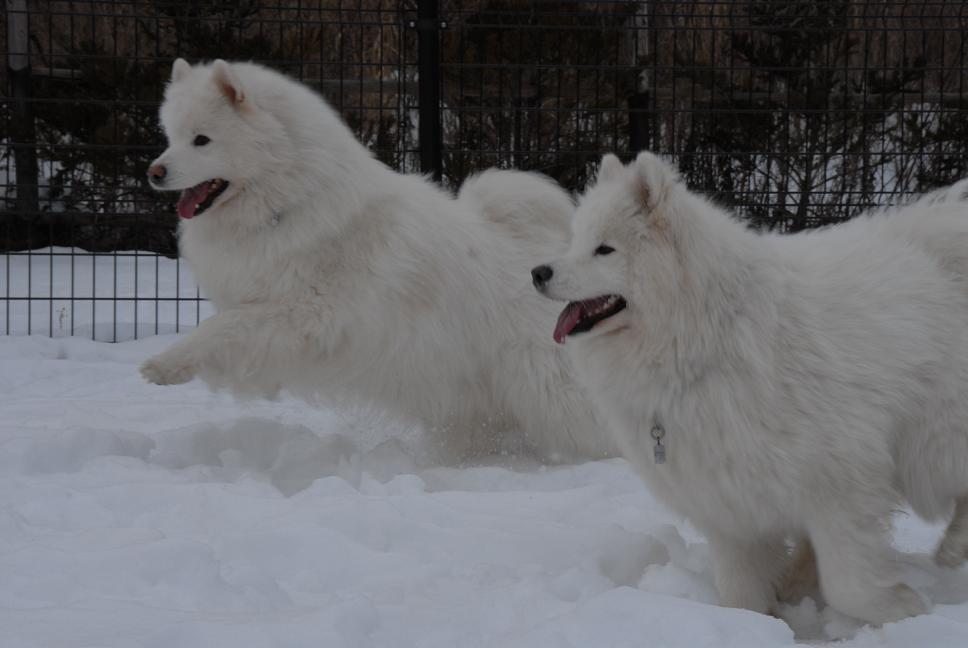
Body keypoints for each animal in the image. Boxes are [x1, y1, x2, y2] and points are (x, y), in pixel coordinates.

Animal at [140, 57, 616, 460]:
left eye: (202, 140)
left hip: (550, 393)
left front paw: (165, 365)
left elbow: (222, 328)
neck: (290, 201)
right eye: (170, 137)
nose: (154, 172)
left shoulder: (301, 313)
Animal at [532, 151, 968, 624]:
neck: (709, 335)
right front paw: (756, 621)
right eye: (575, 241)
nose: (538, 271)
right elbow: (741, 591)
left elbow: (849, 585)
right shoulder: (728, 502)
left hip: (934, 442)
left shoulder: (842, 483)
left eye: (604, 249)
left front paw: (903, 609)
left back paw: (951, 550)